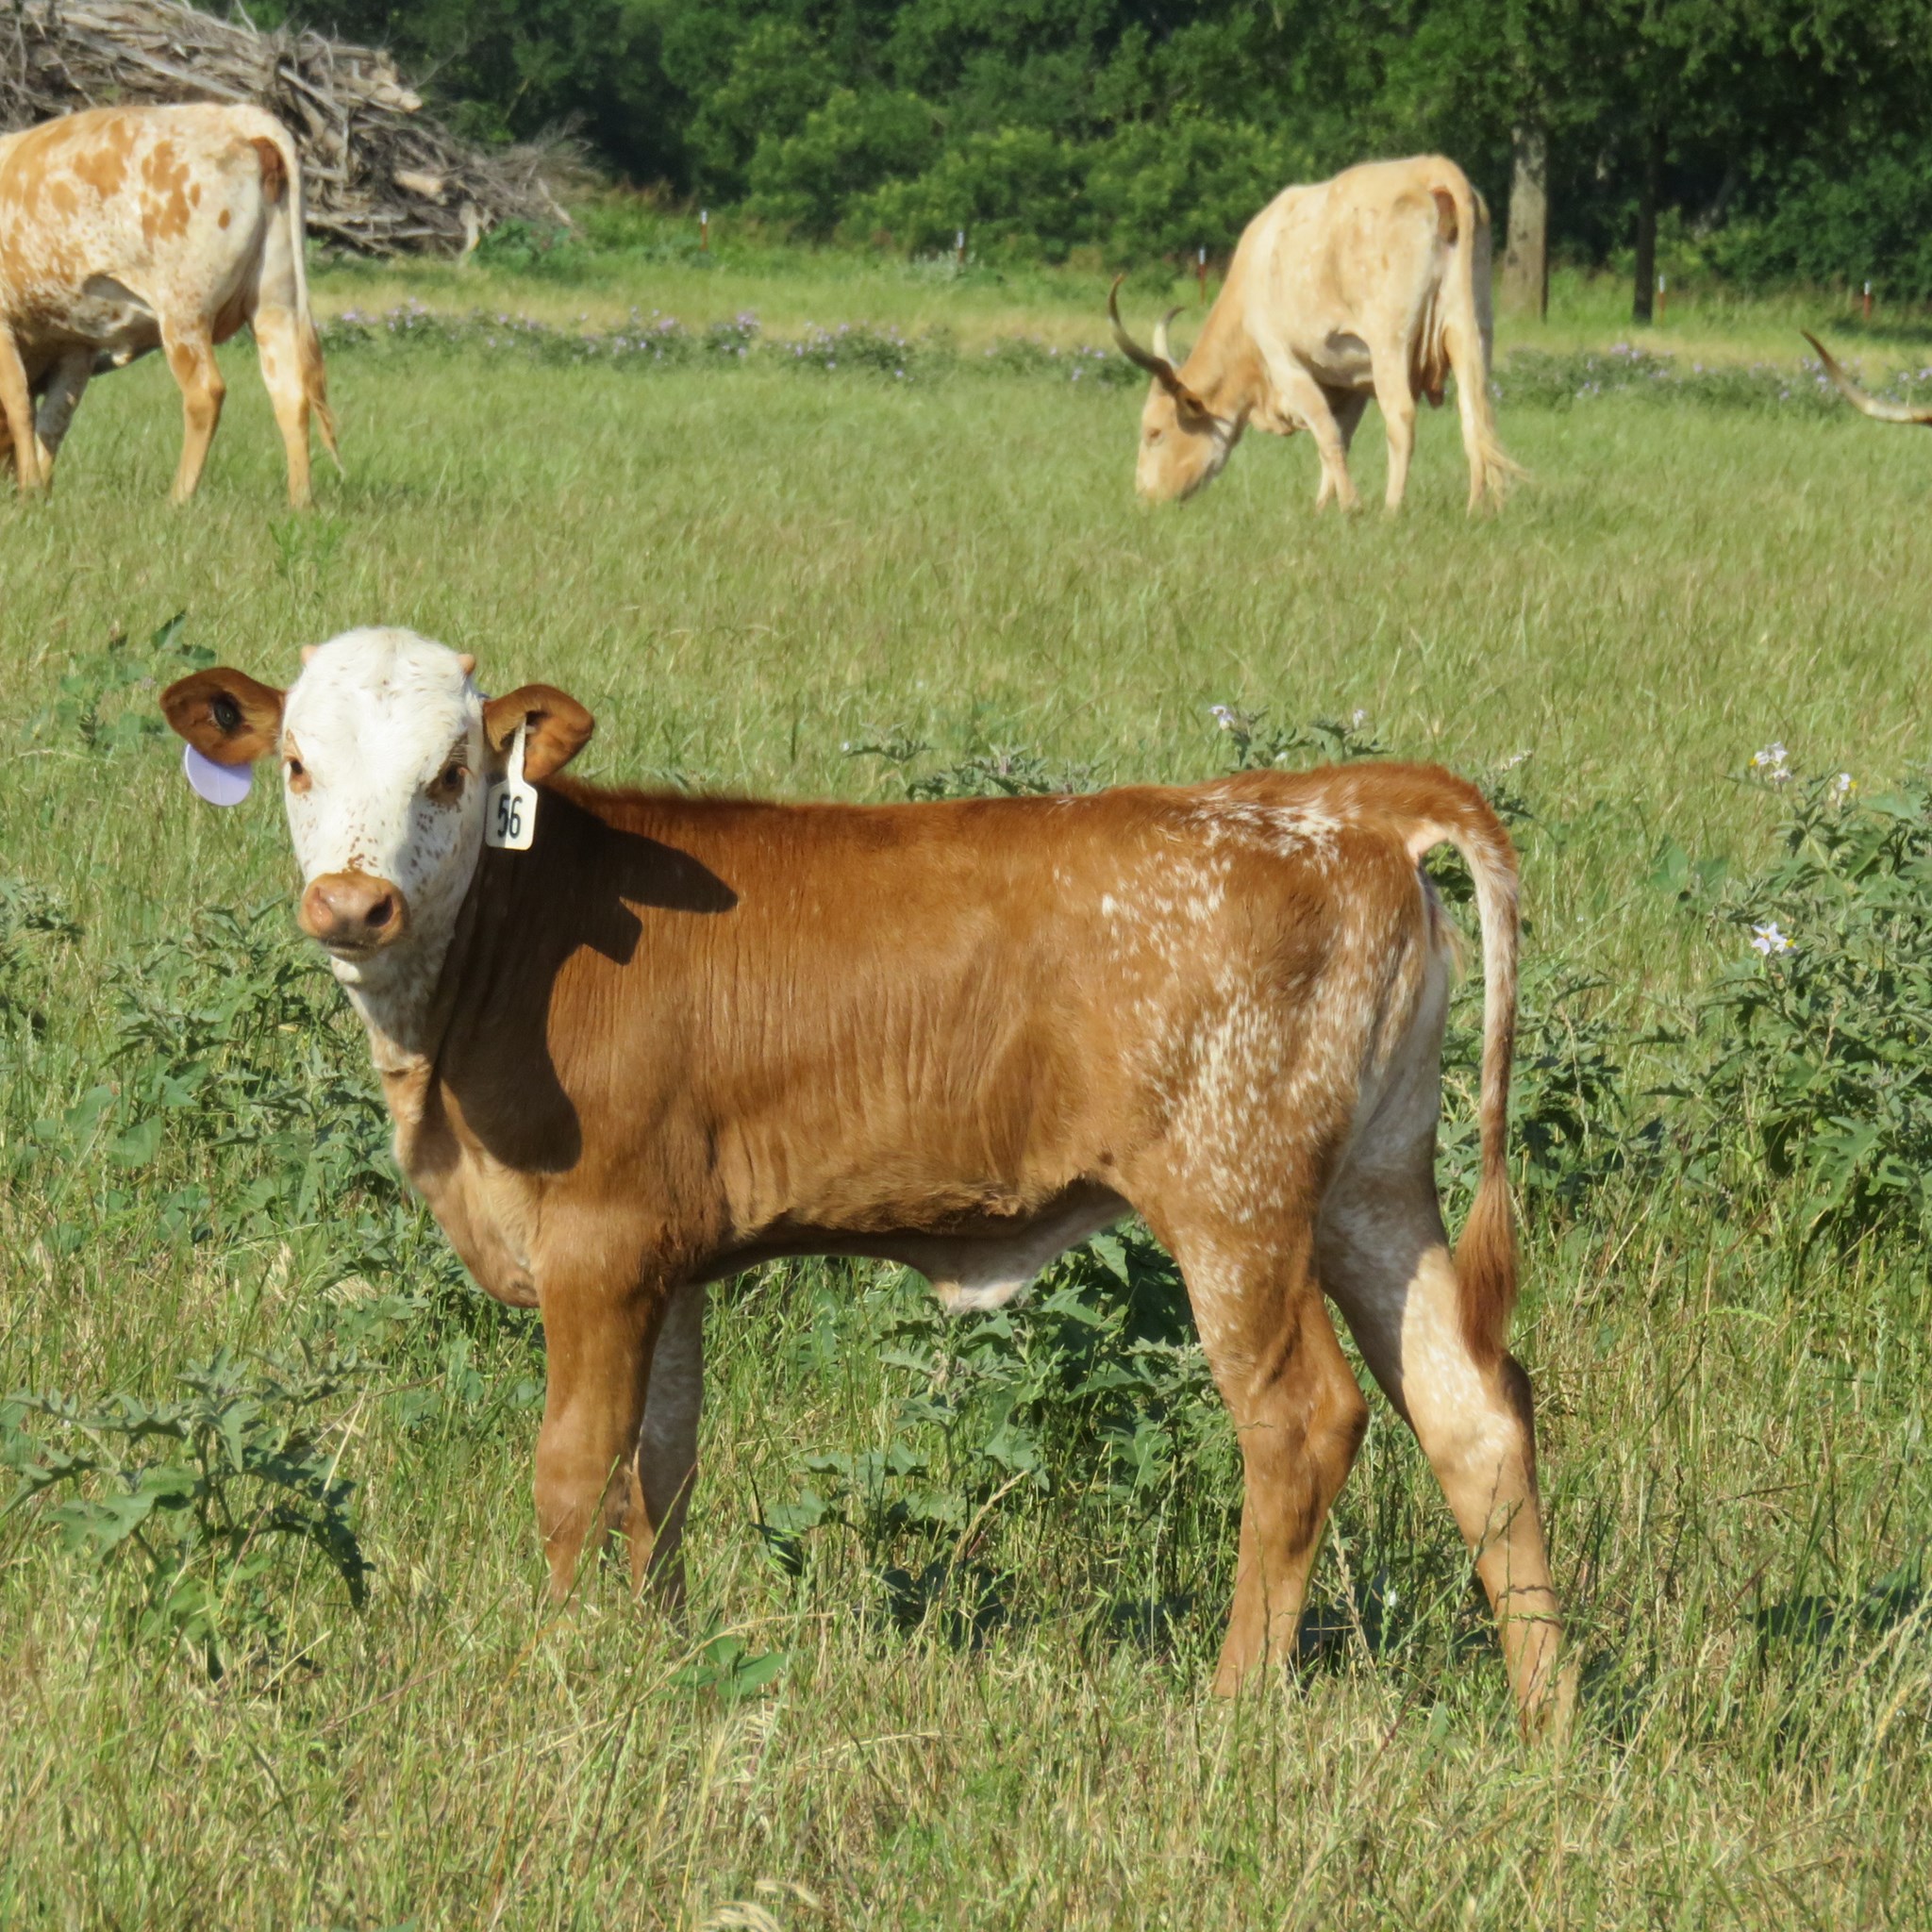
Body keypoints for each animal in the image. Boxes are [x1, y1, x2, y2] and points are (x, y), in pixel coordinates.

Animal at [0, 104, 338, 503]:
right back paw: (300, 501)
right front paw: (41, 490)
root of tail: (235, 116)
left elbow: (20, 405)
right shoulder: (77, 344)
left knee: (206, 394)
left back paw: (178, 498)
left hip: (184, 311)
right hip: (276, 300)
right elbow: (53, 419)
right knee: (290, 391)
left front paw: (31, 489)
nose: (6, 483)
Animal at [160, 626, 1572, 1739]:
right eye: (298, 762)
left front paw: (552, 1671)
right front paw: (658, 1659)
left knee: (1301, 1420)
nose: (353, 904)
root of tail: (1337, 800)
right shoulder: (668, 1256)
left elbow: (574, 1469)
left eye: (449, 774)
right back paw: (1549, 1716)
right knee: (1474, 1413)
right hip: (1371, 1186)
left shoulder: (599, 1247)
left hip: (1235, 1195)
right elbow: (659, 1468)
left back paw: (1230, 1708)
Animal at [1109, 156, 1518, 513]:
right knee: (1475, 413)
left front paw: (1351, 506)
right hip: (1472, 330)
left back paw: (1391, 510)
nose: (1144, 499)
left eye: (1154, 432)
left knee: (1402, 417)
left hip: (1390, 341)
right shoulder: (1350, 381)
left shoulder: (1285, 363)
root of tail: (1430, 168)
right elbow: (1339, 438)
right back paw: (1479, 508)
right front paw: (1324, 507)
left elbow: (1328, 435)